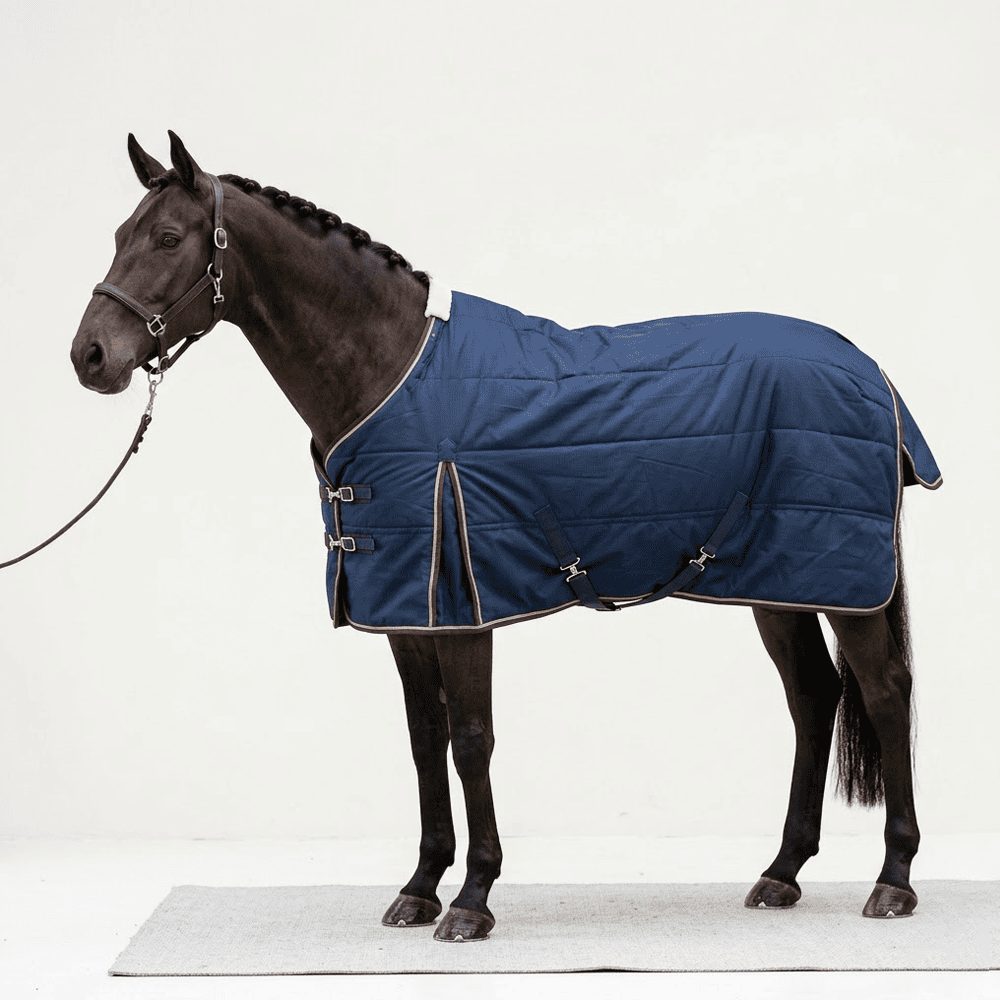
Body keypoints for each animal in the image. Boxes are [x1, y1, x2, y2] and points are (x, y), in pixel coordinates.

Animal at [70, 132, 940, 943]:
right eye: (118, 232)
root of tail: (871, 369)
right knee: (815, 697)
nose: (90, 356)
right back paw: (781, 872)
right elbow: (425, 741)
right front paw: (420, 888)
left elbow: (470, 740)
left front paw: (472, 899)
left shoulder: (462, 603)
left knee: (885, 692)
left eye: (169, 239)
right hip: (781, 580)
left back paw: (893, 880)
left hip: (847, 584)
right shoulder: (407, 612)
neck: (391, 374)